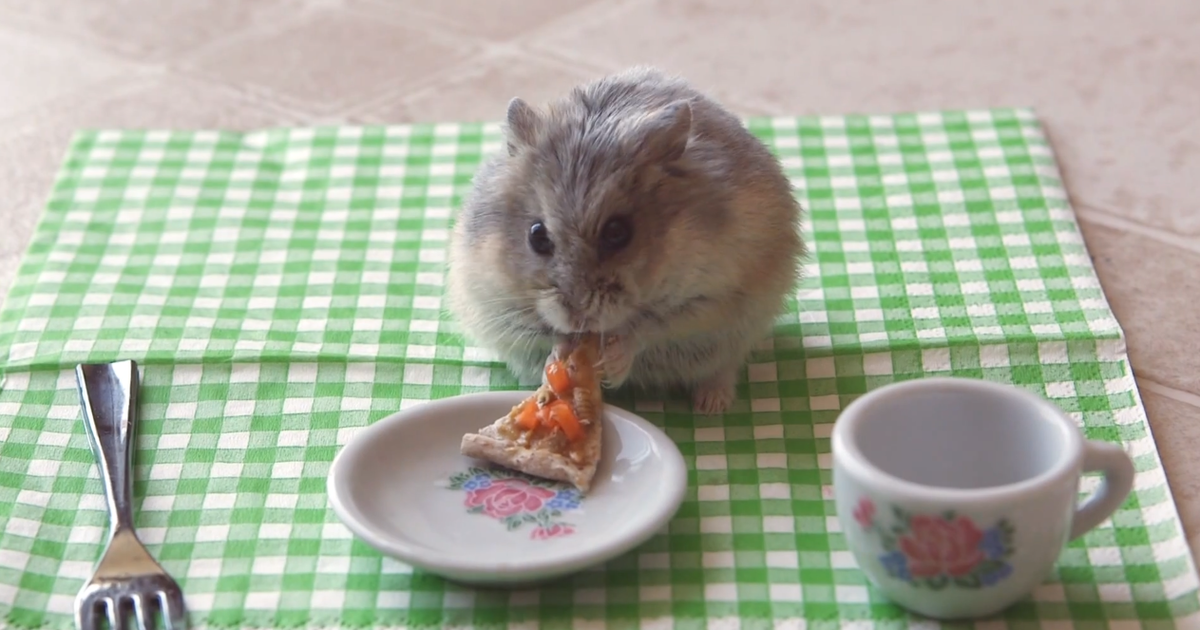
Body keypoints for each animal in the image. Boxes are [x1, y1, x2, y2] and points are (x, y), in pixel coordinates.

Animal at [444, 66, 806, 415]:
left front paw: (613, 363)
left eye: (618, 232)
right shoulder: (496, 302)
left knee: (722, 370)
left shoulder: (712, 300)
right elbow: (554, 337)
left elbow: (644, 330)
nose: (578, 318)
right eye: (537, 235)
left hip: (736, 333)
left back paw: (711, 407)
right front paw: (558, 361)